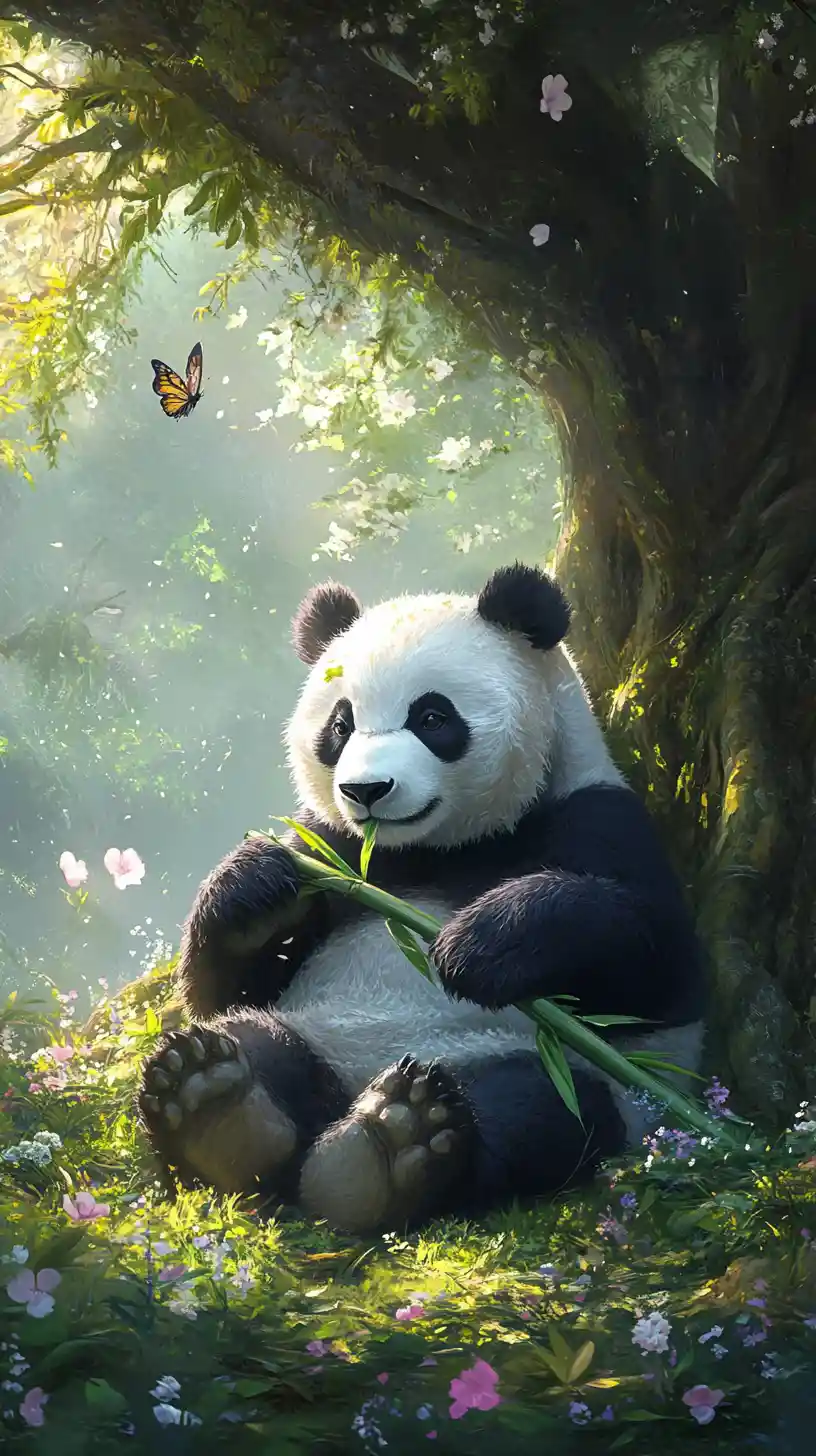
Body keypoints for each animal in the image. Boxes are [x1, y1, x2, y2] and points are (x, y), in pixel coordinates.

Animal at [138, 563, 704, 1234]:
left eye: (432, 717)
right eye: (341, 726)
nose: (366, 789)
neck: (433, 849)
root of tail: (349, 1091)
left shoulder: (596, 813)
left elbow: (657, 972)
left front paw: (481, 944)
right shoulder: (332, 845)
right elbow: (223, 988)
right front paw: (255, 888)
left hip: (551, 1067)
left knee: (538, 1108)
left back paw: (390, 1146)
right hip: (319, 1028)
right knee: (253, 1039)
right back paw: (215, 1104)